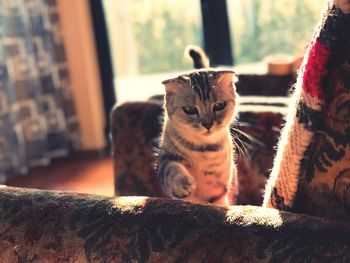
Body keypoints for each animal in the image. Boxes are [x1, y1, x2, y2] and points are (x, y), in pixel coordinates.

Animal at [158, 67, 238, 207]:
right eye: (189, 109)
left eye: (219, 105)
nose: (208, 124)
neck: (203, 150)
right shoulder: (167, 157)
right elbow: (171, 169)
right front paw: (183, 183)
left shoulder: (219, 188)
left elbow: (218, 200)